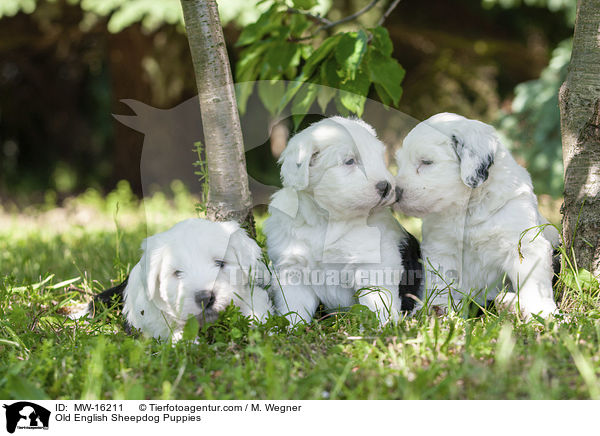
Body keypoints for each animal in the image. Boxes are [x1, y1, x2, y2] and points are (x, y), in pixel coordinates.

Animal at [262, 116, 422, 328]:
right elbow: (294, 307)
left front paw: (382, 327)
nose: (387, 187)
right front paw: (291, 329)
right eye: (349, 161)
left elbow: (377, 301)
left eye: (379, 158)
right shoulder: (293, 268)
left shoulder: (374, 265)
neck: (328, 220)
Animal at [394, 110, 556, 318]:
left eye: (426, 162)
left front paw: (541, 312)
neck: (468, 209)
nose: (396, 193)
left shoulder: (523, 243)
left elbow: (533, 282)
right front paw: (439, 308)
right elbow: (440, 282)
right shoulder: (440, 248)